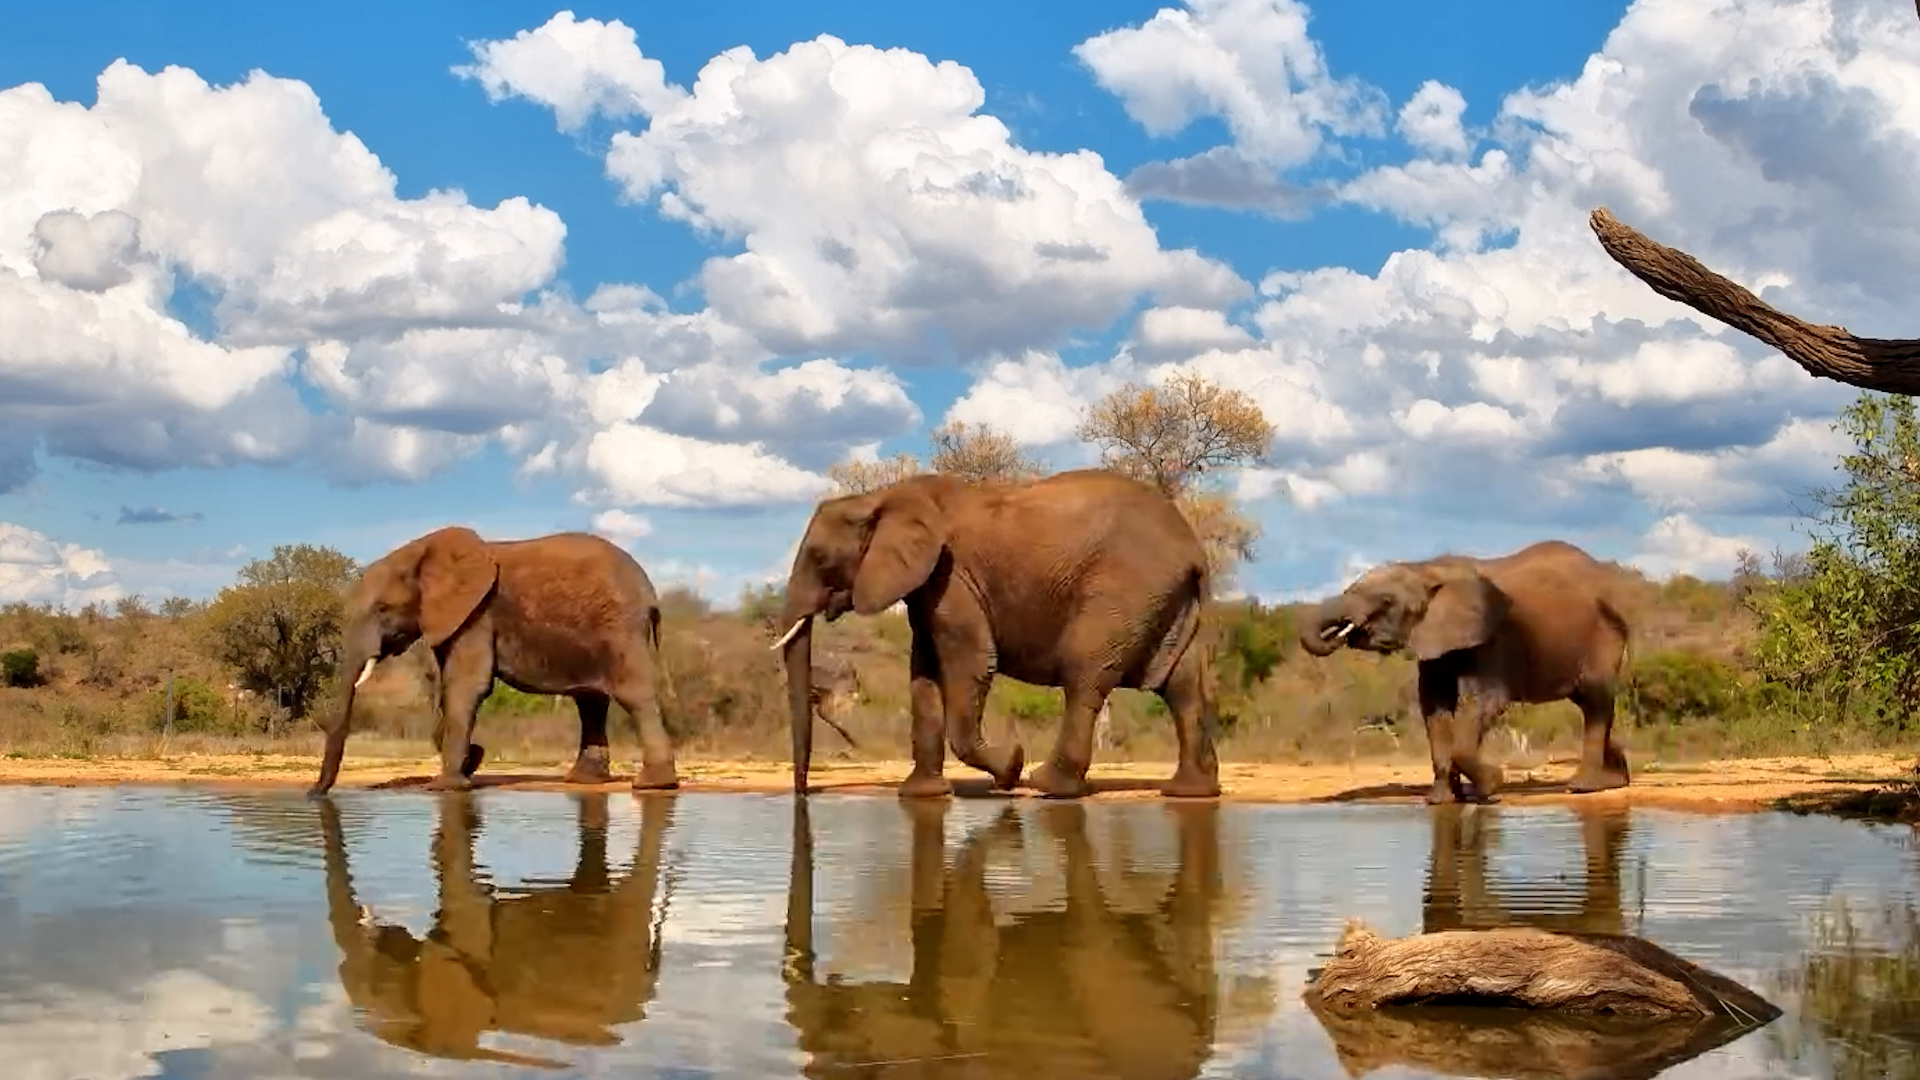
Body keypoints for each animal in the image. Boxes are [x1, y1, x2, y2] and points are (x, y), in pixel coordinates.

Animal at [308, 526, 679, 796]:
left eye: (383, 609)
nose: (314, 794)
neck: (423, 552)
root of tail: (651, 593)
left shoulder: (479, 614)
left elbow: (466, 686)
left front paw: (446, 786)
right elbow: (450, 688)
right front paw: (469, 761)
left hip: (620, 627)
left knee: (631, 693)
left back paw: (653, 785)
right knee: (590, 701)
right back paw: (583, 781)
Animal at [770, 468, 1221, 801]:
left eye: (820, 558)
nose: (804, 794)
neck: (878, 497)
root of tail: (1194, 553)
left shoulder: (951, 577)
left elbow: (969, 662)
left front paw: (1011, 769)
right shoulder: (927, 587)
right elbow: (923, 675)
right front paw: (923, 794)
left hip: (1123, 592)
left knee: (1086, 675)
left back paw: (1048, 786)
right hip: (1165, 599)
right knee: (1182, 686)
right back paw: (1190, 793)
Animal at [1297, 539, 1632, 804]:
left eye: (1386, 602)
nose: (1345, 629)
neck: (1426, 569)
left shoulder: (1492, 634)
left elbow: (1486, 700)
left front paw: (1492, 786)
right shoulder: (1434, 636)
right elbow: (1434, 703)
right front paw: (1442, 801)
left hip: (1605, 633)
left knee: (1596, 699)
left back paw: (1584, 787)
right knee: (1589, 701)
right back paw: (1615, 781)